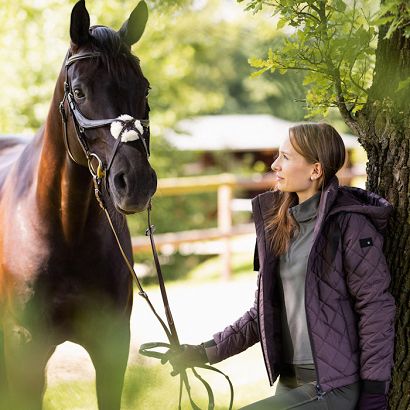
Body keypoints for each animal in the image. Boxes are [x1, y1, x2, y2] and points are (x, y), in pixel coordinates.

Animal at [0, 1, 157, 408]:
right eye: (78, 91)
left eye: (144, 88)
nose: (135, 183)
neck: (65, 229)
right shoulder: (24, 352)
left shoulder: (111, 346)